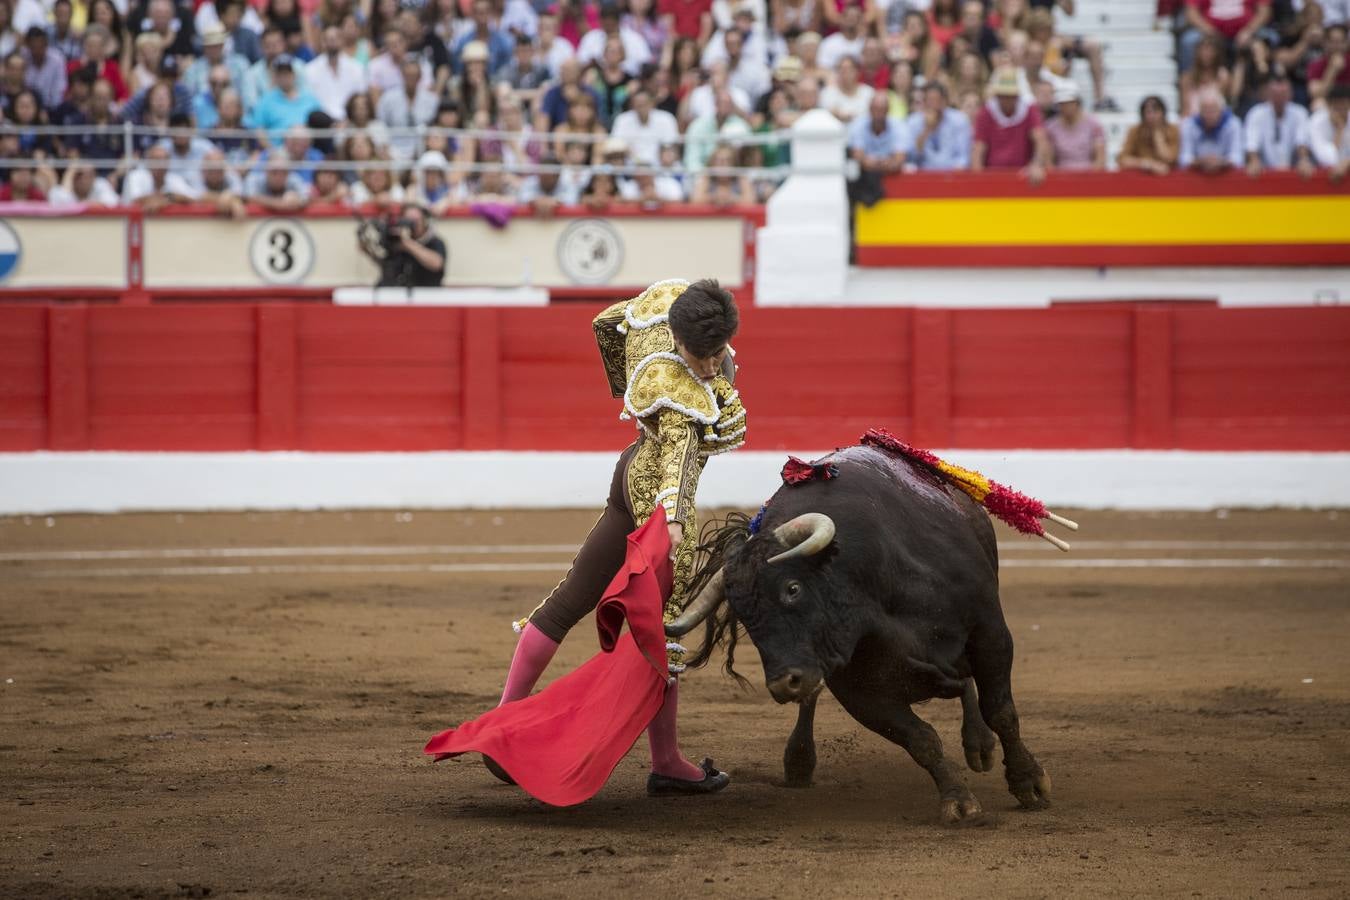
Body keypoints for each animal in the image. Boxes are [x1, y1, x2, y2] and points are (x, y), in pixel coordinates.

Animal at [664, 442, 1053, 825]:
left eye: (792, 588)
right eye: (744, 615)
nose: (783, 684)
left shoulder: (989, 631)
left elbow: (1000, 710)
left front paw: (1029, 783)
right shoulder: (857, 689)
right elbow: (921, 740)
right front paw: (958, 801)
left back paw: (980, 744)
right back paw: (799, 762)